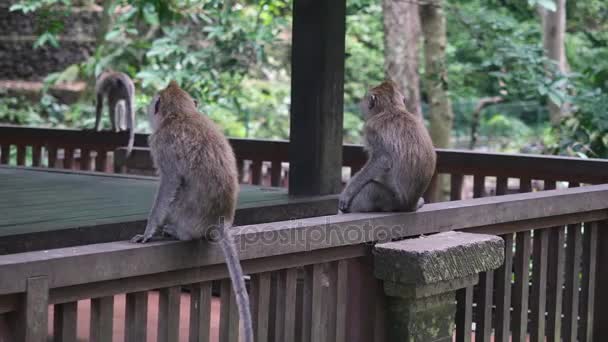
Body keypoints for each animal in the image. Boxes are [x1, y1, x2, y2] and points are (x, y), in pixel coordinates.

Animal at [133, 81, 254, 342]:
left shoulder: (161, 144)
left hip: (184, 215)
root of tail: (220, 219)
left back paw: (173, 232)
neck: (182, 114)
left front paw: (148, 231)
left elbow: (170, 181)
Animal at [340, 81, 434, 214]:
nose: (362, 105)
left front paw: (347, 194)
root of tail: (410, 205)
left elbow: (382, 160)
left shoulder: (372, 129)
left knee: (371, 189)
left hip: (391, 200)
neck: (391, 109)